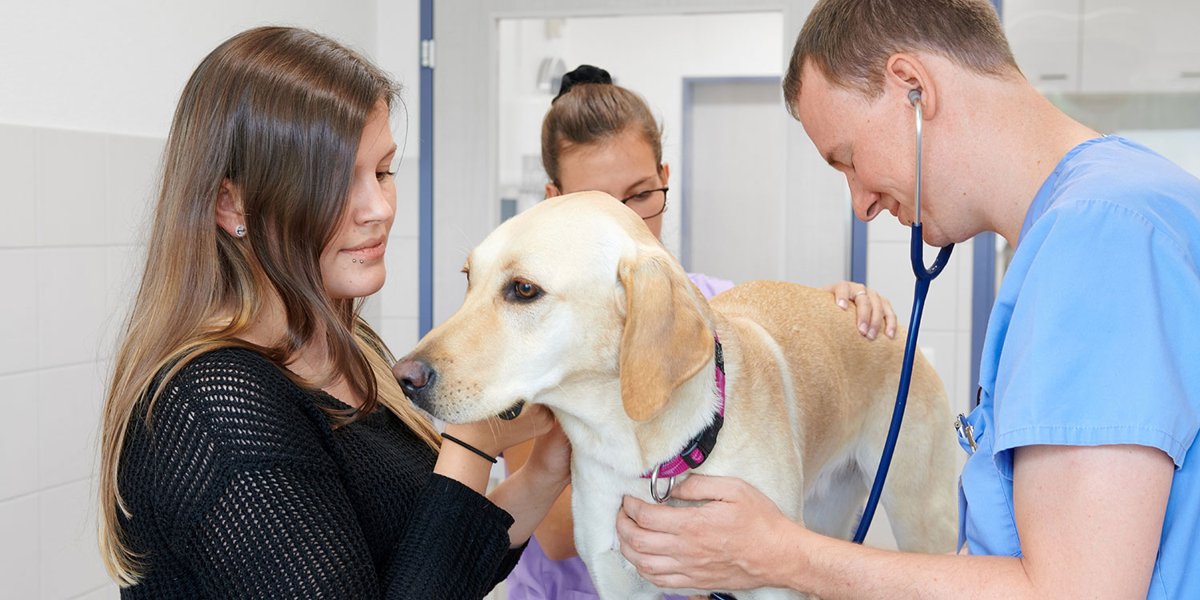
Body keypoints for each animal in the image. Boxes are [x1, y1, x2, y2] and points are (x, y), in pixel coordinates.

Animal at [393, 193, 955, 600]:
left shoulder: (772, 580)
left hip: (920, 520)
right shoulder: (618, 583)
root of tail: (900, 333)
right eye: (469, 278)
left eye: (524, 290)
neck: (654, 457)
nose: (405, 376)